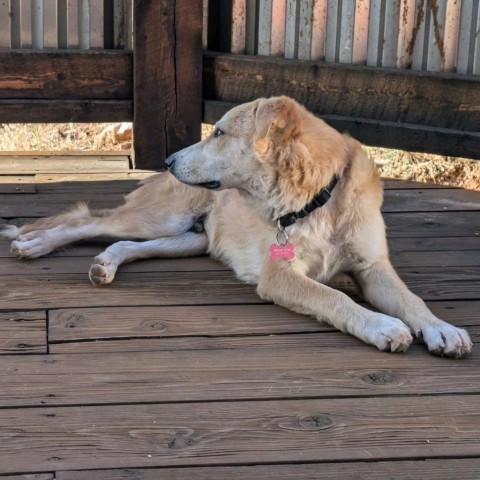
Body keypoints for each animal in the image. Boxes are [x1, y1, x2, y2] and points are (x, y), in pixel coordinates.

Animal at [1, 96, 470, 356]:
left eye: (220, 133)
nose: (169, 160)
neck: (316, 199)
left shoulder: (373, 268)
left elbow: (412, 300)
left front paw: (441, 328)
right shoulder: (280, 275)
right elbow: (335, 297)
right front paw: (382, 326)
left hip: (188, 239)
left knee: (124, 245)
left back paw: (105, 265)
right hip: (155, 218)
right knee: (85, 221)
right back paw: (32, 243)